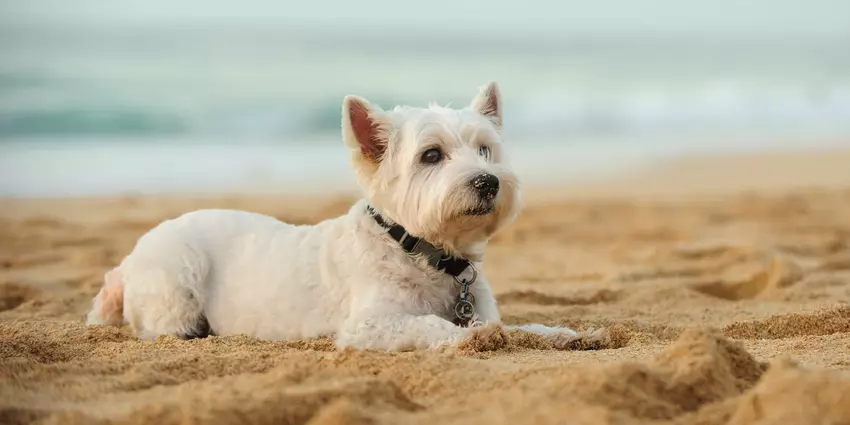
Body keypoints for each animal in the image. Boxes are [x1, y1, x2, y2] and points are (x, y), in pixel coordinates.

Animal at [84, 83, 576, 352]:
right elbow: (430, 324)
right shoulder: (371, 324)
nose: (488, 182)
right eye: (431, 155)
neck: (422, 251)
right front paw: (471, 338)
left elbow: (514, 326)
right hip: (177, 289)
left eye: (485, 150)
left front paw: (558, 333)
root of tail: (128, 260)